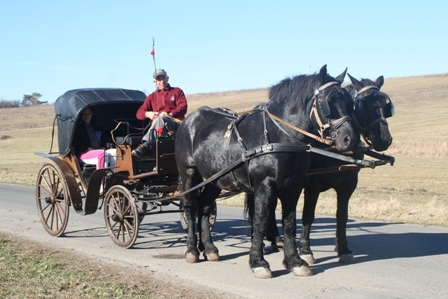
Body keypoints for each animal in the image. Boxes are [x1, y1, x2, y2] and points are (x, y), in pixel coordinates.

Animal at [176, 65, 356, 278]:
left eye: (349, 102)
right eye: (327, 102)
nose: (349, 138)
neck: (280, 135)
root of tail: (189, 120)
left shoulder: (294, 187)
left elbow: (289, 223)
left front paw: (294, 261)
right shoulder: (265, 185)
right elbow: (260, 221)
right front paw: (258, 262)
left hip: (215, 178)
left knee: (204, 206)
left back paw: (210, 248)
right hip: (189, 173)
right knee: (190, 207)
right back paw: (192, 250)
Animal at [250, 74, 394, 264]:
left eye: (385, 105)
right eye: (362, 104)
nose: (384, 139)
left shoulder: (347, 185)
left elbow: (342, 216)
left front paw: (343, 249)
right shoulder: (313, 186)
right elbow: (308, 216)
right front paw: (305, 250)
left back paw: (276, 239)